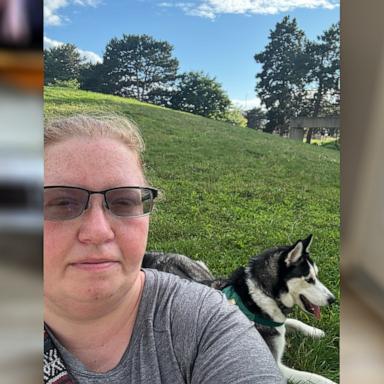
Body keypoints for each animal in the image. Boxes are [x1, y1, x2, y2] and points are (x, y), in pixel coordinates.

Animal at [143, 236, 336, 384]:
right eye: (309, 279)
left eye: (316, 276)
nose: (332, 299)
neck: (259, 298)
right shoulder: (276, 365)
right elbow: (315, 377)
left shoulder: (276, 321)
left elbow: (292, 321)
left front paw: (315, 331)